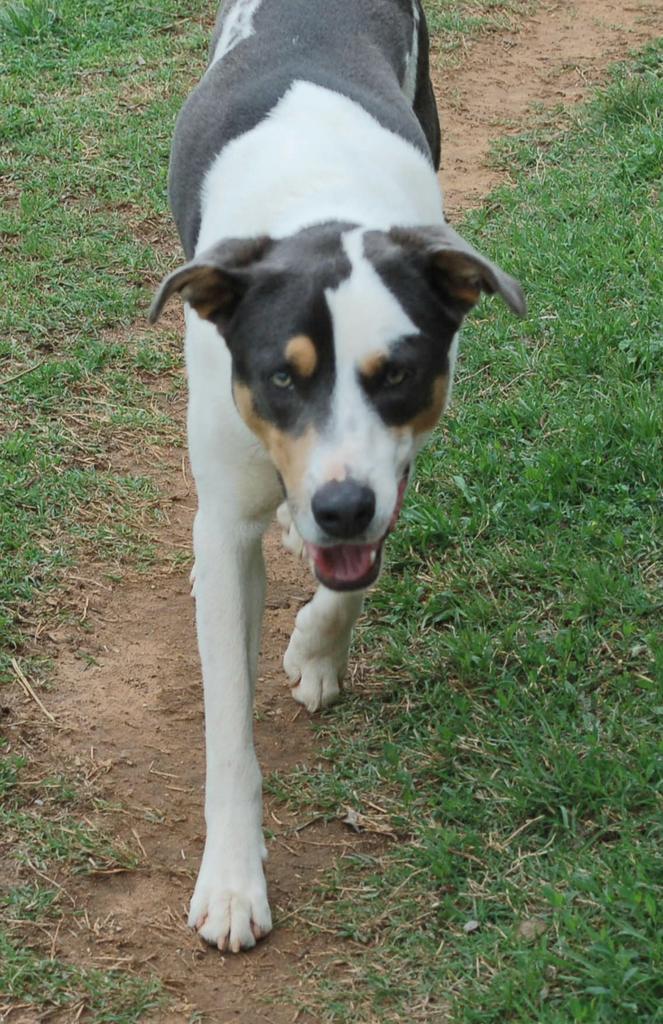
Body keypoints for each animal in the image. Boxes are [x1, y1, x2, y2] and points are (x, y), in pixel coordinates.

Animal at [149, 0, 524, 950]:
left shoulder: (398, 462)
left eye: (395, 374)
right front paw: (233, 880)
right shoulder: (223, 526)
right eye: (280, 378)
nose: (341, 506)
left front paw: (316, 652)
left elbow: (356, 579)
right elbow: (228, 728)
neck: (319, 215)